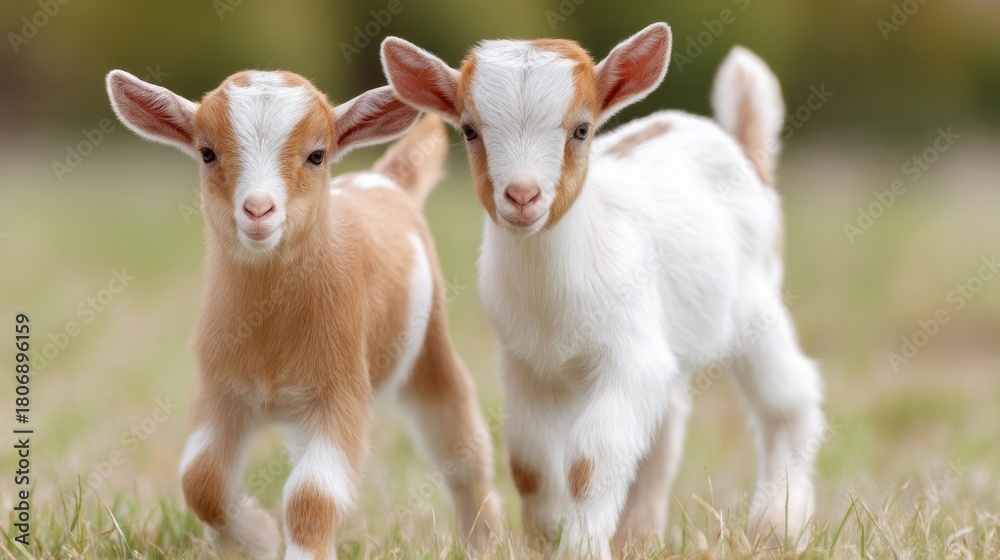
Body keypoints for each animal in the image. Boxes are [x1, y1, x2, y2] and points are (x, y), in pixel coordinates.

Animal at [106, 69, 498, 560]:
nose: (258, 210)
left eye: (316, 155)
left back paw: (484, 541)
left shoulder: (341, 392)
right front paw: (256, 539)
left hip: (431, 348)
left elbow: (313, 495)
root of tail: (384, 180)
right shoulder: (219, 390)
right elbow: (201, 480)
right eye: (207, 152)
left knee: (462, 449)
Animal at [382, 23, 825, 558]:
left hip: (755, 307)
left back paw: (776, 525)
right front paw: (542, 539)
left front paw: (581, 548)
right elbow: (529, 463)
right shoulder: (526, 365)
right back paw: (639, 534)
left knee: (790, 400)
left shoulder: (628, 356)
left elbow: (590, 461)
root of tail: (745, 151)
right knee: (667, 423)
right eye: (470, 129)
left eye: (581, 129)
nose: (523, 196)